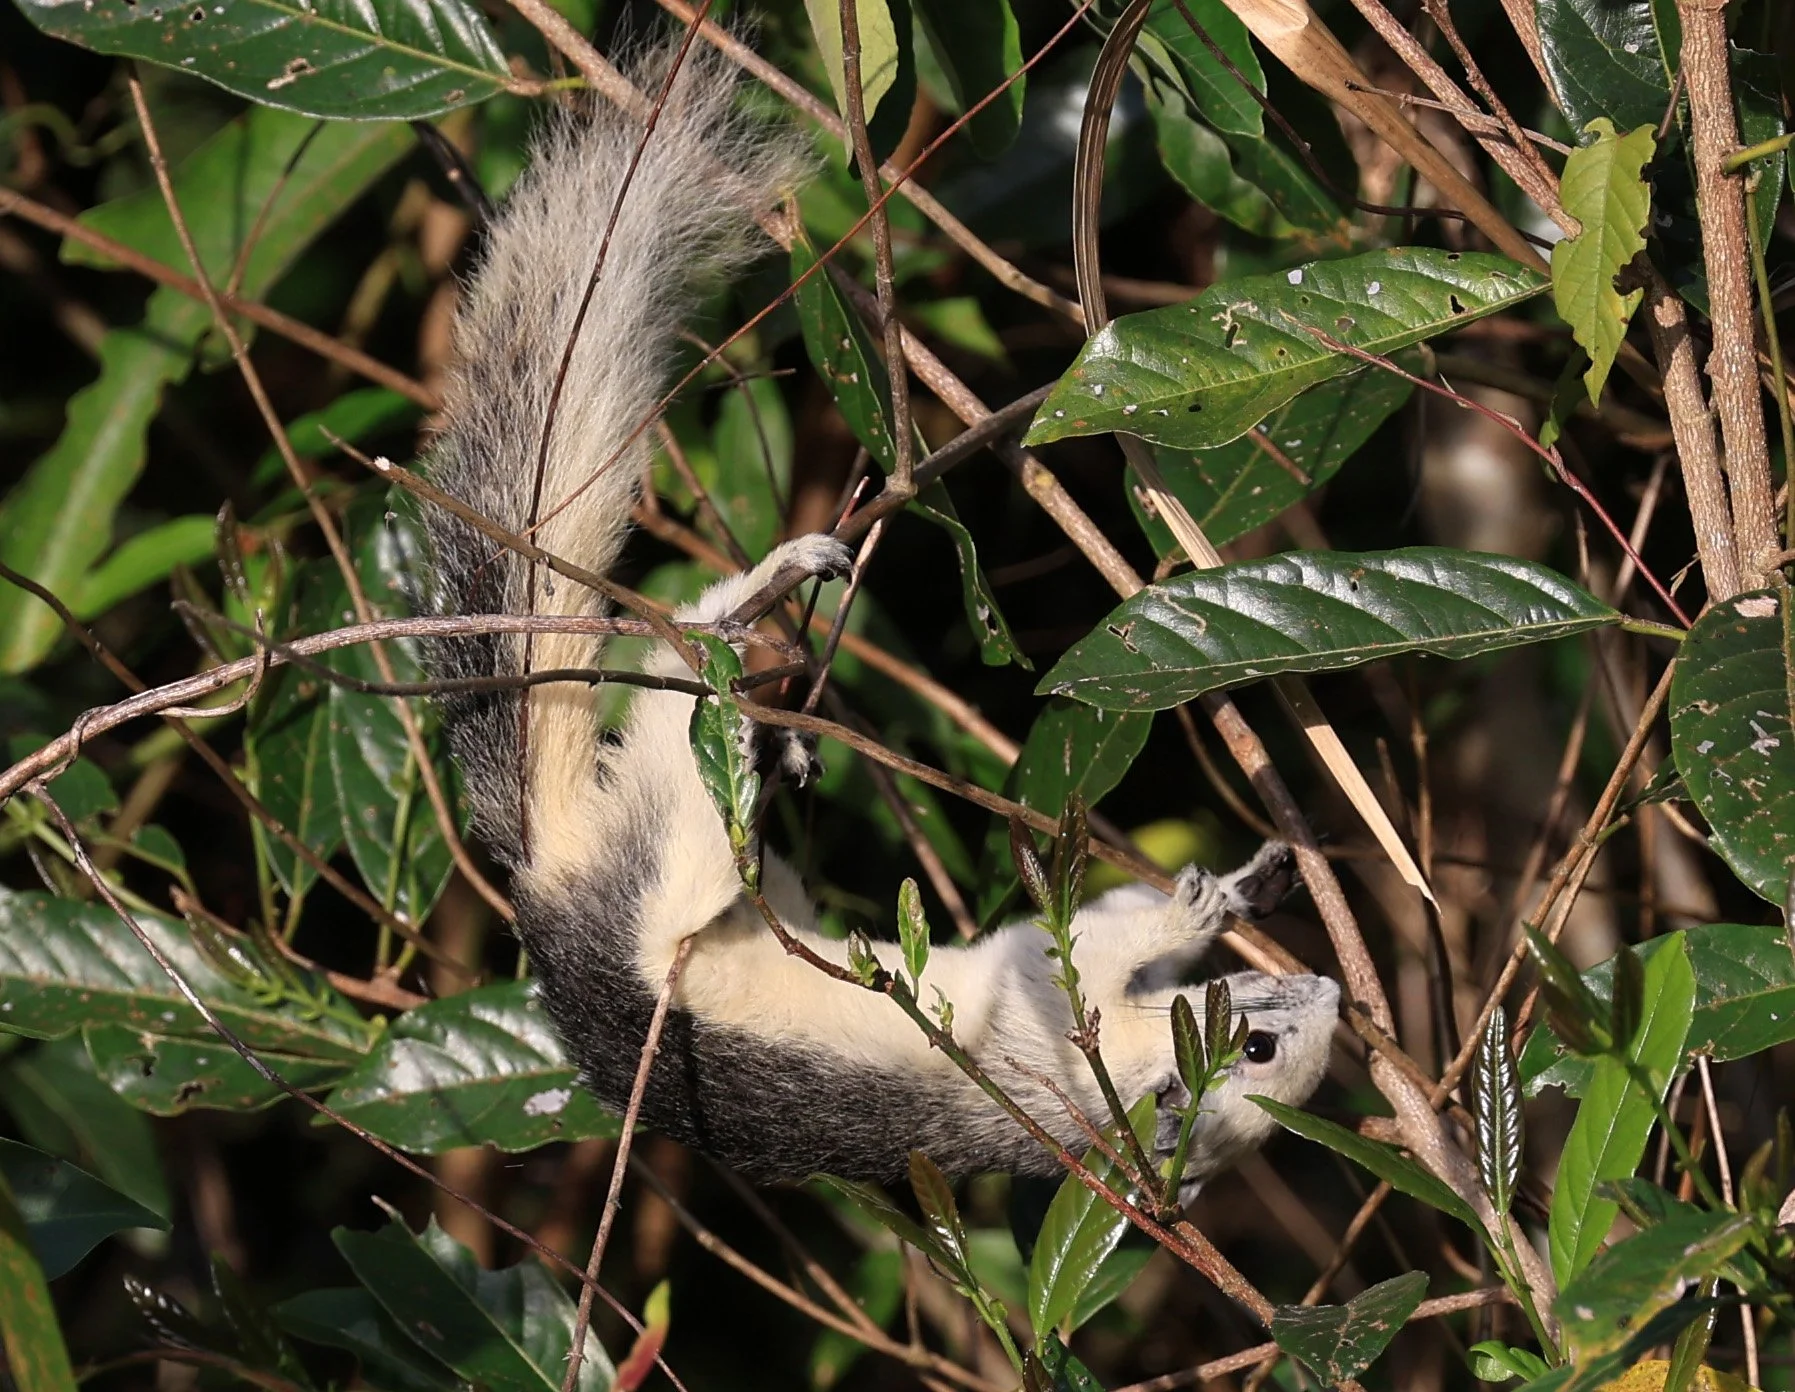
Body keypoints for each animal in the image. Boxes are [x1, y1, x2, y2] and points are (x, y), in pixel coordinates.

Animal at [419, 38, 1340, 1188]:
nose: (1331, 992)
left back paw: (745, 658)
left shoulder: (1044, 1016)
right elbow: (1080, 933)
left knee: (683, 731)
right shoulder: (1053, 1010)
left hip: (668, 872)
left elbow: (1063, 942)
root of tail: (544, 881)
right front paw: (1239, 889)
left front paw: (1208, 901)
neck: (1106, 1102)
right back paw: (768, 658)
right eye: (1255, 1043)